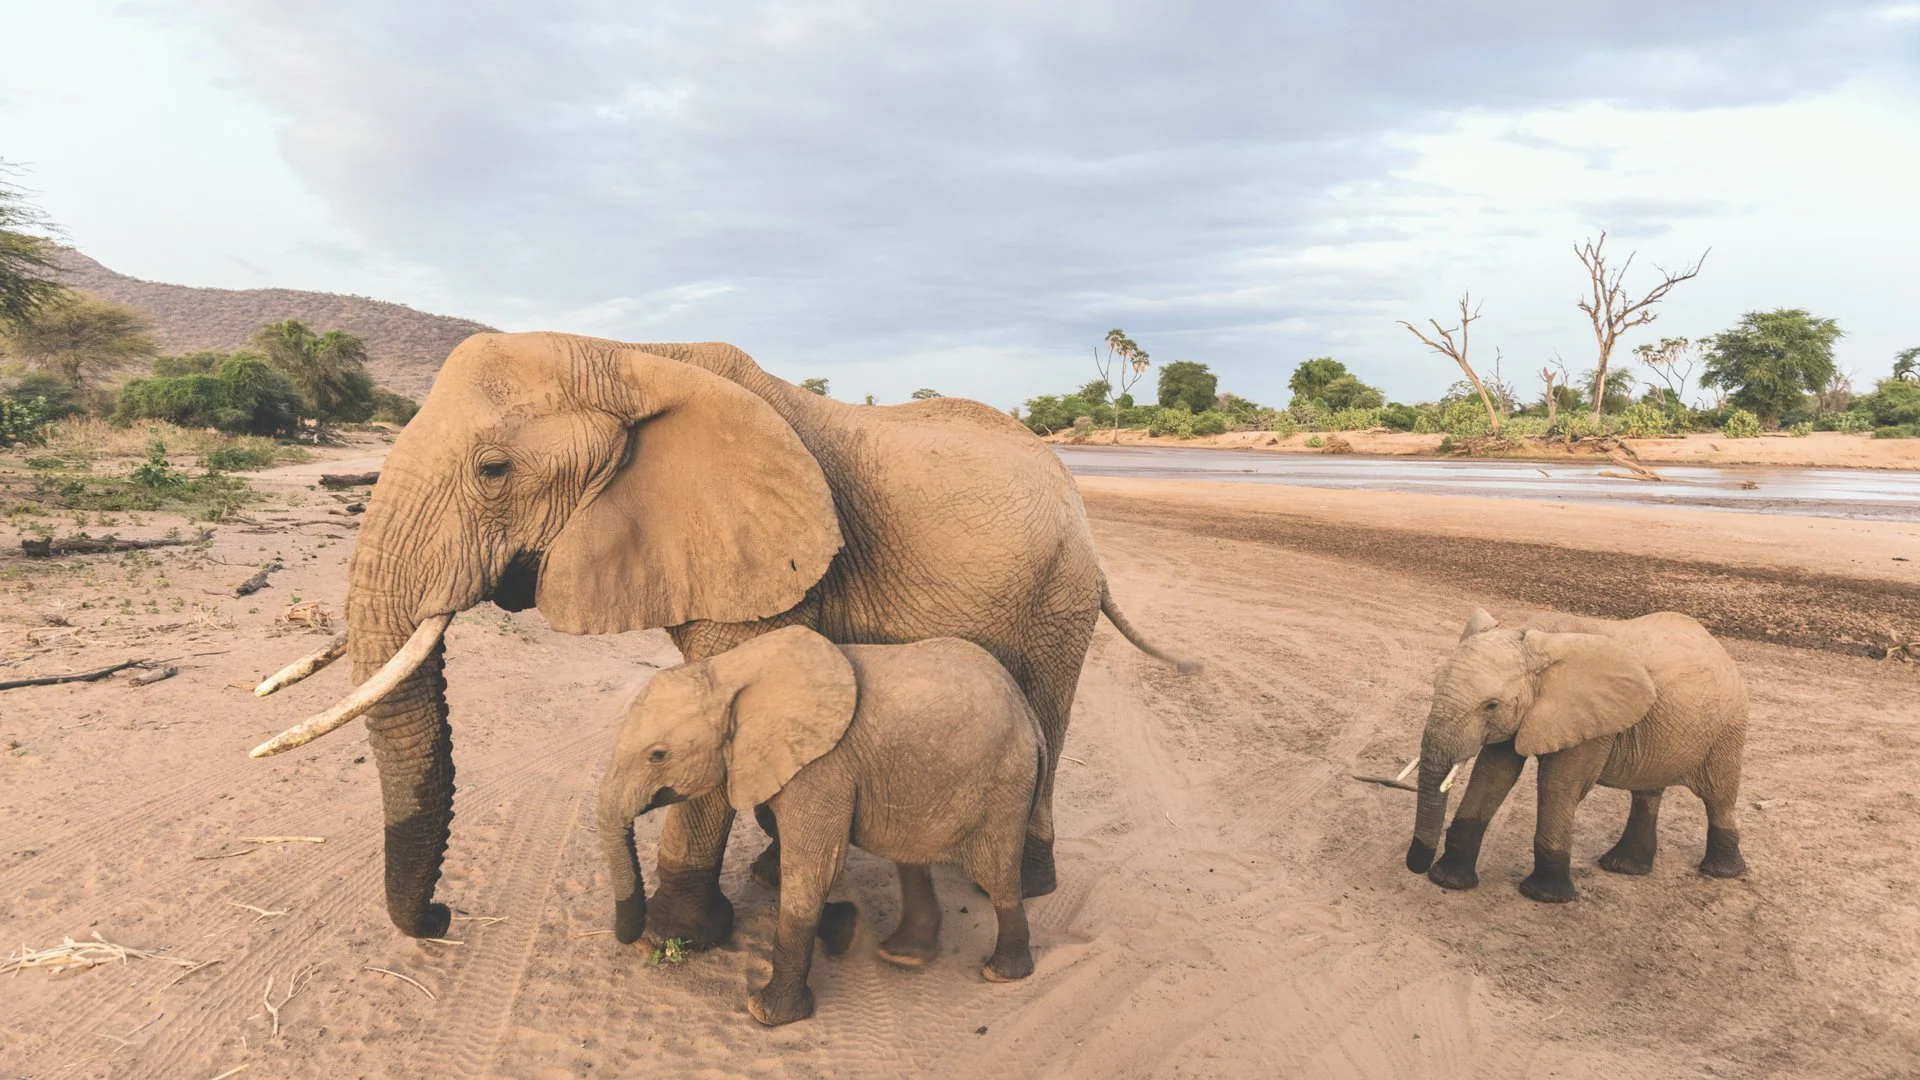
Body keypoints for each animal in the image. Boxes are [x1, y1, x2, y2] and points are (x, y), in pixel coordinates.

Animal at [248, 331, 1193, 946]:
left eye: (493, 471)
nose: (443, 920)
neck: (625, 353)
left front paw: (682, 936)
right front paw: (772, 883)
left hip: (1061, 590)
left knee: (1046, 713)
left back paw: (1026, 880)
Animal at [599, 626, 1044, 1026]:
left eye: (658, 755)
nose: (637, 940)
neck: (729, 673)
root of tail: (1028, 713)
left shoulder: (823, 766)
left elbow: (812, 867)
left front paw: (768, 1015)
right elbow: (790, 842)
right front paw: (846, 930)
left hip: (1003, 779)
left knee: (995, 871)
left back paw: (1001, 973)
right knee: (909, 856)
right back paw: (904, 954)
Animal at [1403, 608, 1749, 903]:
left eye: (1491, 705)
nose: (1415, 865)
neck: (1535, 635)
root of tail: (1716, 644)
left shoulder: (1594, 721)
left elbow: (1558, 786)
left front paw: (1546, 896)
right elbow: (1492, 776)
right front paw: (1449, 880)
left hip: (1728, 728)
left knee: (1718, 795)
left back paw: (1720, 871)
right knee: (1647, 793)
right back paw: (1623, 867)